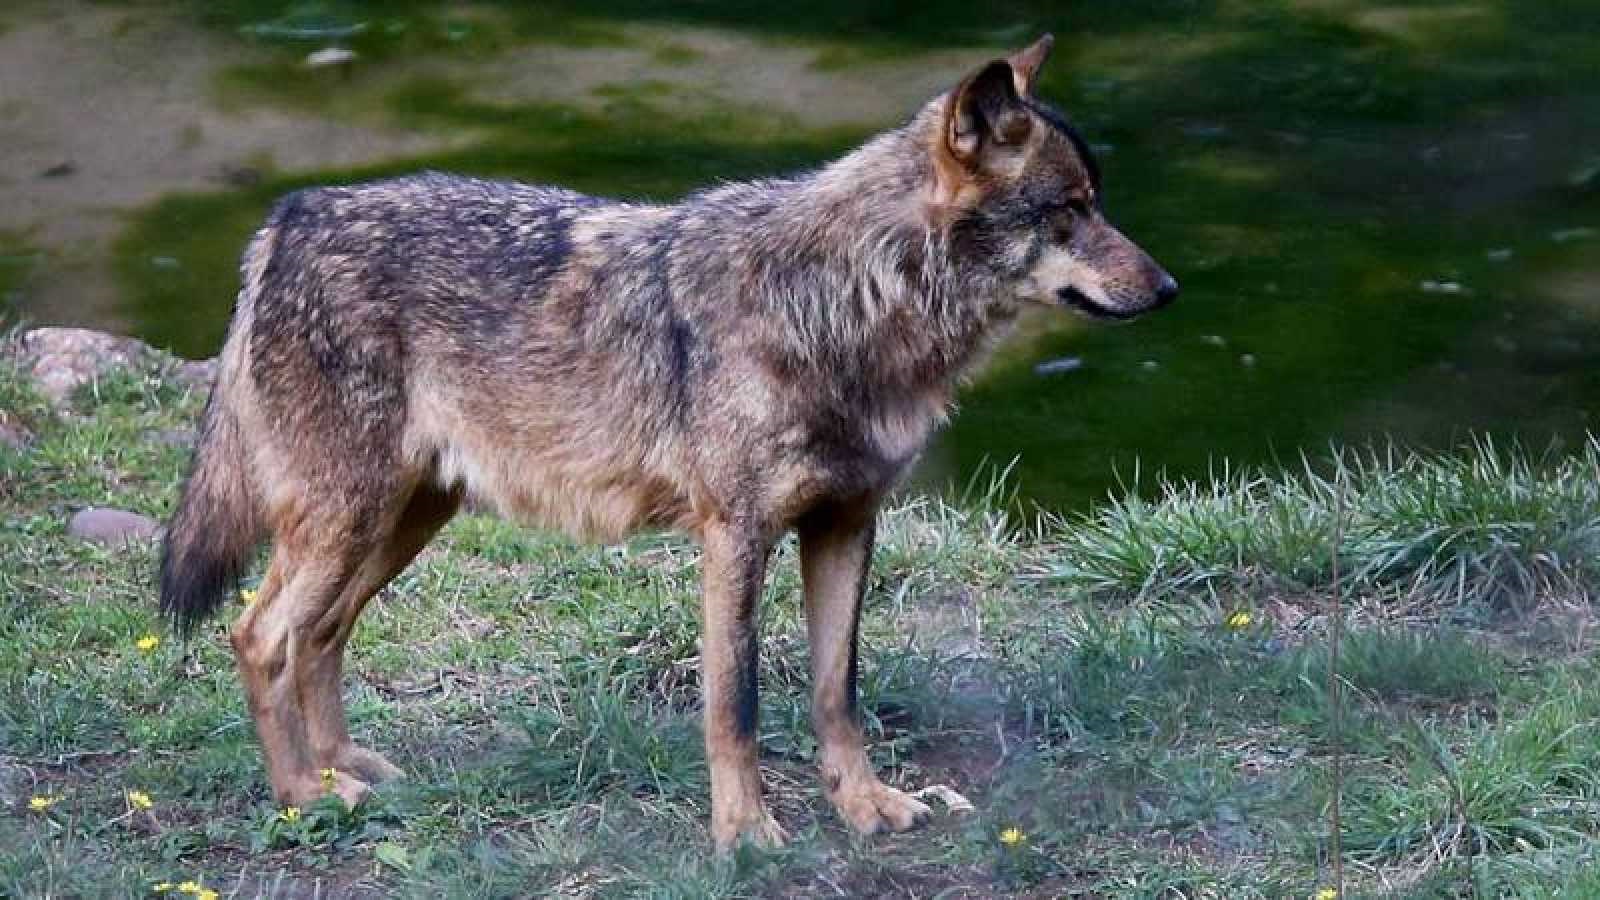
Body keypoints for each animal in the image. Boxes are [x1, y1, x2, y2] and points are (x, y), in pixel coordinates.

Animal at [162, 35, 1177, 845]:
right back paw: (304, 795)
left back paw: (345, 767)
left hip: (400, 523)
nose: (1168, 289)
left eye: (1097, 204)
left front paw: (863, 808)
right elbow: (736, 704)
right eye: (1068, 212)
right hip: (350, 522)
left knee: (320, 632)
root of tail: (287, 218)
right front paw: (747, 836)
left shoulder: (846, 526)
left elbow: (835, 695)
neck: (847, 300)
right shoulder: (734, 537)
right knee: (259, 635)